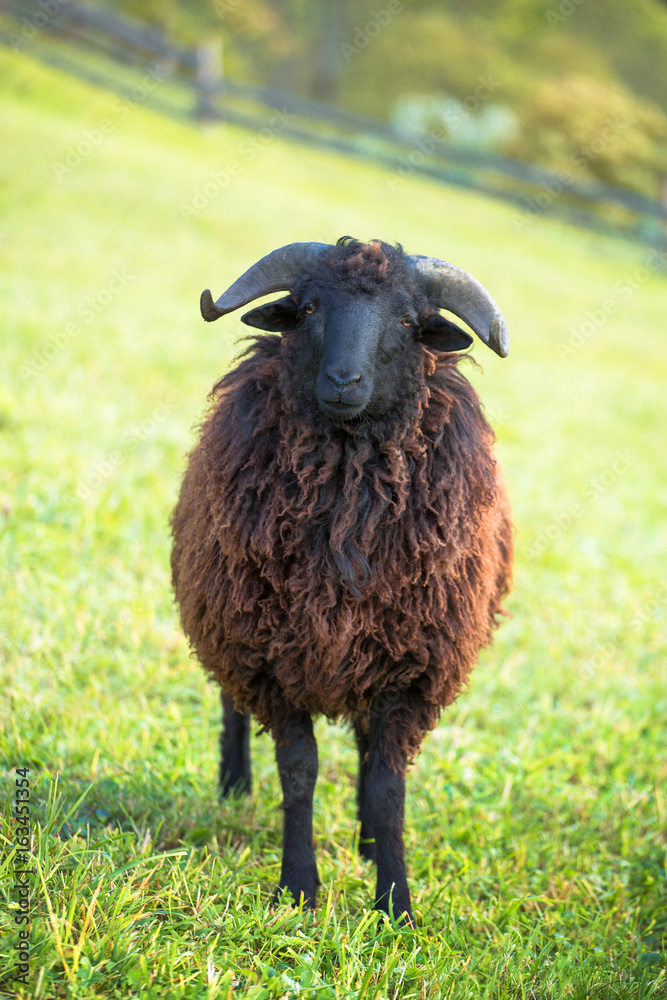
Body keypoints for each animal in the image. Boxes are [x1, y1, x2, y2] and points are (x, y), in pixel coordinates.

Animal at [171, 237, 513, 925]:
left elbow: (387, 788)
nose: (343, 382)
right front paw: (299, 888)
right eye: (306, 309)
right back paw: (234, 784)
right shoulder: (267, 656)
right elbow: (299, 773)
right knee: (230, 705)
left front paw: (395, 903)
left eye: (407, 322)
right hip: (225, 614)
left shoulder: (409, 668)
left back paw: (364, 840)